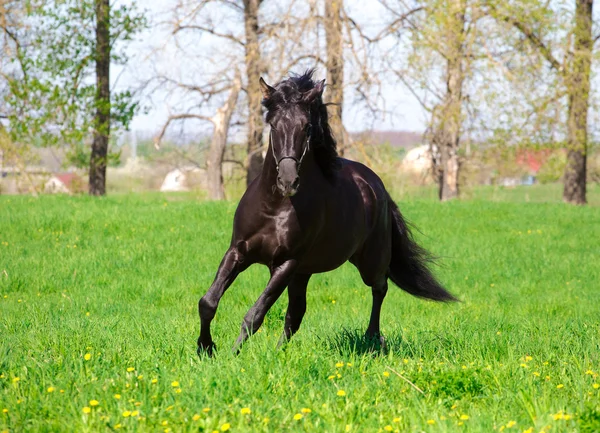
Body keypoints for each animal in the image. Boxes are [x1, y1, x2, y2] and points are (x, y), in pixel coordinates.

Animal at [197, 71, 454, 354]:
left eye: (306, 127)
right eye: (273, 126)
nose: (288, 181)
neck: (274, 208)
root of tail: (377, 186)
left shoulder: (286, 264)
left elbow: (255, 315)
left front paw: (232, 355)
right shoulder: (238, 252)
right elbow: (208, 302)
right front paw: (205, 349)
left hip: (369, 260)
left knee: (379, 288)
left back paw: (372, 338)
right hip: (304, 272)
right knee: (296, 313)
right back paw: (280, 351)